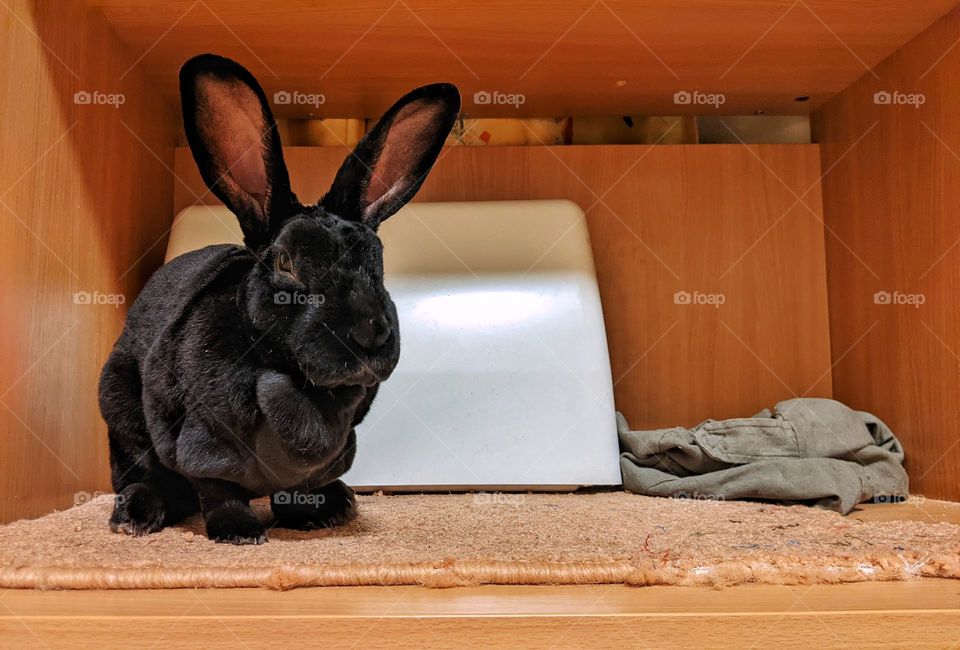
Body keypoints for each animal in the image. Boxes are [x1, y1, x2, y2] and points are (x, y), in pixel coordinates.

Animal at [99, 54, 460, 540]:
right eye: (286, 263)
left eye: (378, 261)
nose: (371, 332)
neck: (295, 377)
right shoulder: (203, 438)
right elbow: (217, 490)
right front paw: (238, 531)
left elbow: (300, 487)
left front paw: (317, 514)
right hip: (120, 411)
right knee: (139, 472)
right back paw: (136, 515)